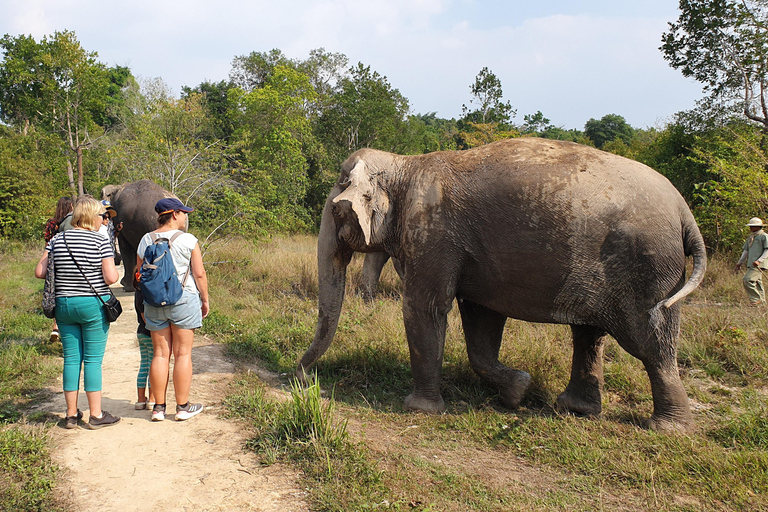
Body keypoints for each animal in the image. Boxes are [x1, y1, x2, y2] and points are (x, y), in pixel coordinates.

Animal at [298, 137, 708, 432]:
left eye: (336, 208)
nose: (301, 377)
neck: (404, 163)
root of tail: (684, 211)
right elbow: (481, 322)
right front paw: (518, 391)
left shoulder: (432, 235)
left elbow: (425, 308)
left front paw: (420, 409)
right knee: (589, 334)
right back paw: (575, 409)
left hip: (647, 271)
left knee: (650, 342)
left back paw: (667, 428)